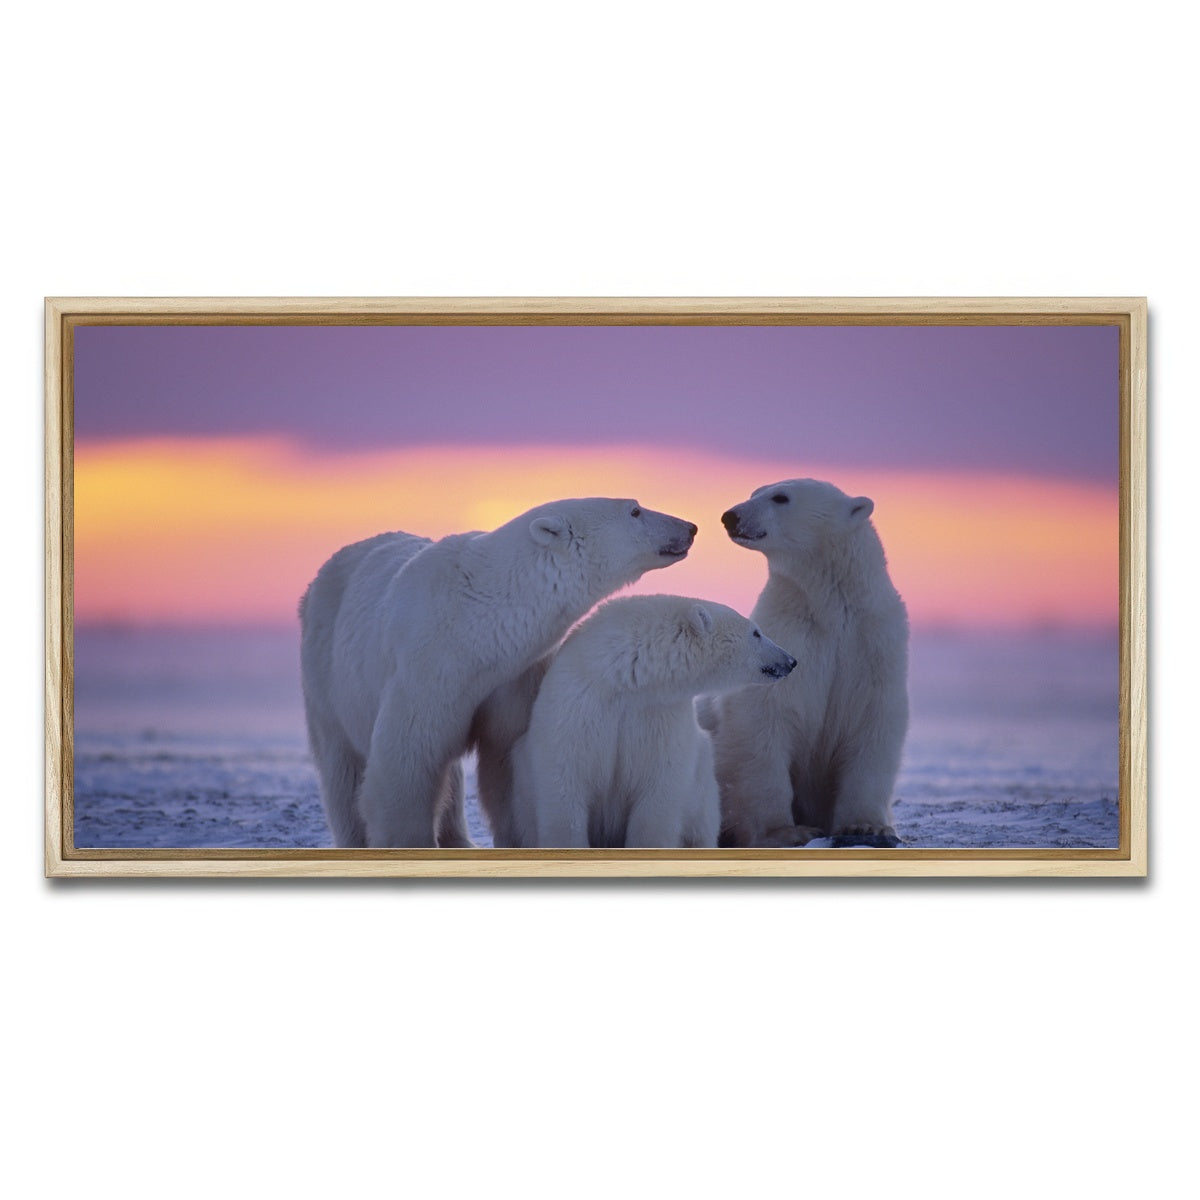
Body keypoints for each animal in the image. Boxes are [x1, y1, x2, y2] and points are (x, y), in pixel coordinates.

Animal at [299, 499, 698, 847]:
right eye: (635, 510)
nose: (690, 527)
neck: (478, 622)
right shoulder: (427, 667)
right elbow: (407, 758)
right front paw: (408, 841)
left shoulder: (514, 676)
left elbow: (507, 756)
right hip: (325, 670)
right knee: (342, 767)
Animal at [507, 594, 798, 848]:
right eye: (756, 632)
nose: (791, 660)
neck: (625, 679)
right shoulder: (579, 706)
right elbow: (566, 781)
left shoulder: (660, 715)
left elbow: (658, 791)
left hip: (702, 784)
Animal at [706, 478, 909, 848]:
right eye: (755, 491)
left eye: (780, 497)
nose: (731, 516)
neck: (829, 609)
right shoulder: (788, 638)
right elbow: (763, 720)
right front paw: (786, 831)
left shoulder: (873, 644)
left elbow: (873, 722)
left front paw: (867, 827)